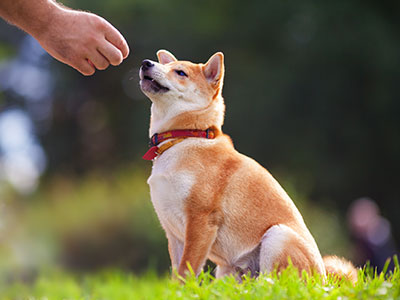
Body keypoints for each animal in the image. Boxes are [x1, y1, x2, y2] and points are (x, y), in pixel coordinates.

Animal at [138, 49, 356, 282]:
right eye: (165, 65)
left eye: (180, 72)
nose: (146, 63)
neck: (183, 138)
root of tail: (322, 279)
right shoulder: (173, 232)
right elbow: (177, 273)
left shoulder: (201, 220)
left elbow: (187, 269)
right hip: (227, 270)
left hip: (277, 235)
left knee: (275, 282)